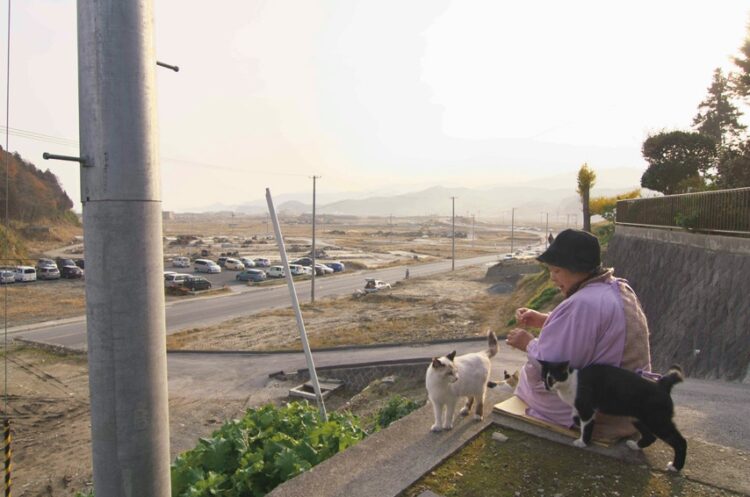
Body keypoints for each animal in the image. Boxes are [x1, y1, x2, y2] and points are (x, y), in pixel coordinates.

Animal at [540, 358, 688, 470]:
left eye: (552, 379)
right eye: (543, 378)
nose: (547, 387)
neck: (572, 381)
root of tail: (662, 384)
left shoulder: (586, 409)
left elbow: (585, 426)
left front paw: (583, 442)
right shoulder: (584, 410)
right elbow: (577, 419)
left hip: (657, 421)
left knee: (680, 441)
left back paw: (675, 467)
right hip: (636, 418)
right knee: (650, 436)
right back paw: (635, 446)